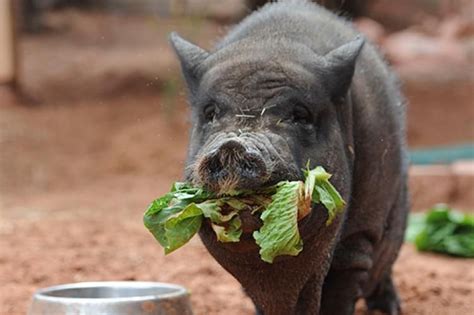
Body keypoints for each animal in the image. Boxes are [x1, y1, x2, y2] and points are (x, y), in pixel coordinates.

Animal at [168, 1, 410, 314]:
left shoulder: (358, 240)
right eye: (210, 113)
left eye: (300, 115)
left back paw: (390, 309)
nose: (233, 145)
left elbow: (343, 284)